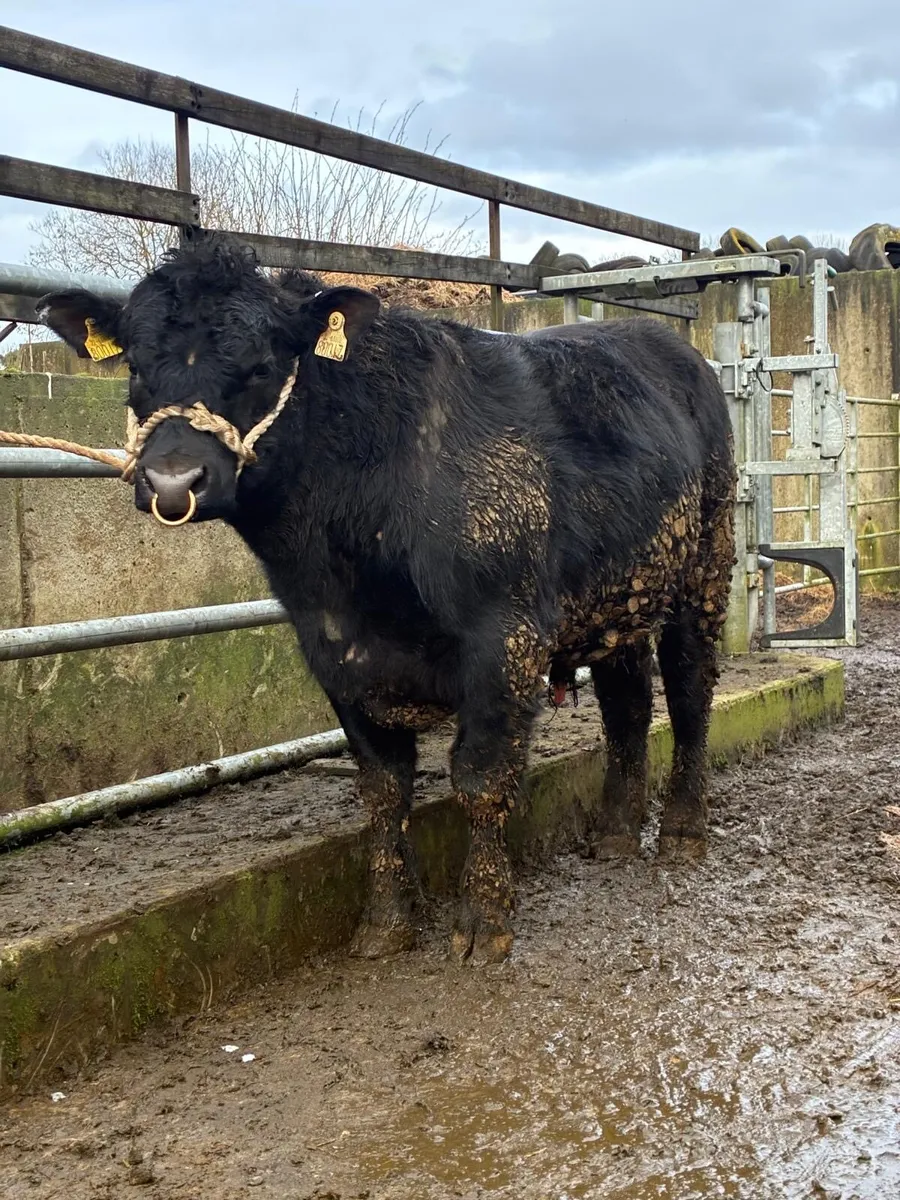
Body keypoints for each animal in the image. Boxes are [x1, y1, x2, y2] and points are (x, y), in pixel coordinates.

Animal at [38, 233, 736, 965]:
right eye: (138, 364)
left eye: (260, 364)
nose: (174, 481)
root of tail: (663, 342)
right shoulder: (335, 650)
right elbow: (381, 790)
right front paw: (386, 921)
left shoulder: (503, 638)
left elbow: (481, 778)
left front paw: (482, 922)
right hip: (620, 596)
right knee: (628, 706)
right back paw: (615, 834)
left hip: (705, 568)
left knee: (689, 694)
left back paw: (682, 833)